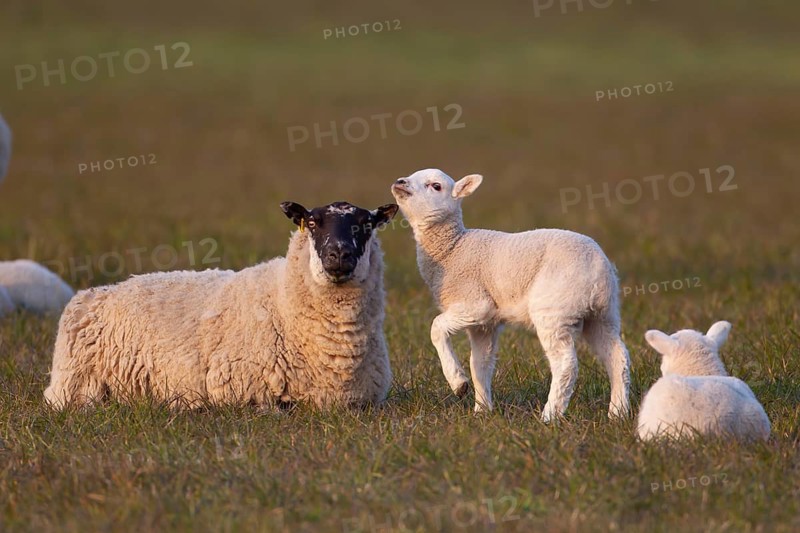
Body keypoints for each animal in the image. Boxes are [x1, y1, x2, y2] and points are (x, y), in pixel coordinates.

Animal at [44, 201, 399, 410]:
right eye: (312, 223)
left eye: (366, 224)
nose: (339, 255)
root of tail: (97, 292)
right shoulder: (242, 393)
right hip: (76, 388)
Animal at [390, 169, 630, 421]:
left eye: (436, 186)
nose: (400, 182)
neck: (453, 249)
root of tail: (597, 269)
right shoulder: (485, 324)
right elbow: (479, 365)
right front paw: (482, 410)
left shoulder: (476, 303)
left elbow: (436, 328)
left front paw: (458, 383)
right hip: (603, 313)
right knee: (617, 357)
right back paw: (617, 412)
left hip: (554, 308)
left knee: (566, 363)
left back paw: (550, 416)